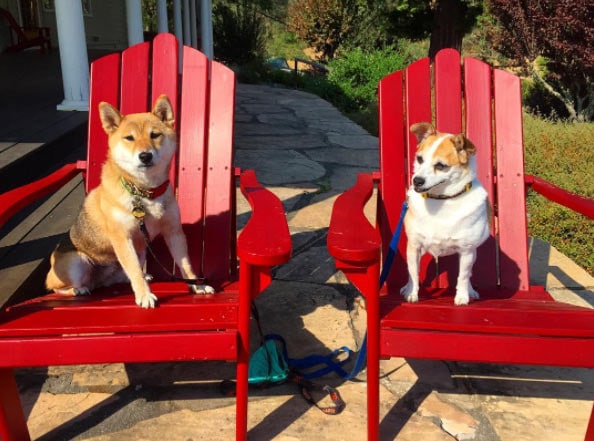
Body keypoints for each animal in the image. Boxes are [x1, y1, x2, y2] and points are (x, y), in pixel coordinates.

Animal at [46, 94, 214, 308]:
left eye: (155, 135)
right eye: (129, 138)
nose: (145, 155)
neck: (144, 193)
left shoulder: (173, 231)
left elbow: (185, 264)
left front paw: (197, 285)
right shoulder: (123, 238)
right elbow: (135, 272)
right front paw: (144, 296)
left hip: (139, 253)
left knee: (123, 275)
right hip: (77, 262)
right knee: (58, 287)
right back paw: (79, 289)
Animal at [400, 122, 488, 304]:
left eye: (441, 166)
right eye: (419, 159)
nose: (417, 180)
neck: (441, 200)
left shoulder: (466, 252)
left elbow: (463, 276)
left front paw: (462, 296)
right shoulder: (414, 247)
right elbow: (413, 273)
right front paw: (412, 293)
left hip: (472, 253)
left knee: (469, 273)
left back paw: (470, 291)